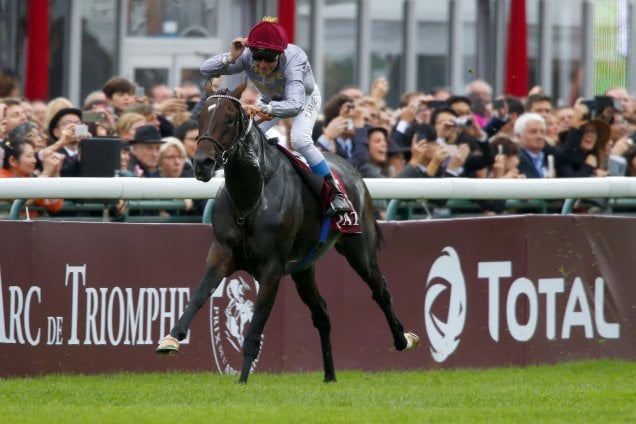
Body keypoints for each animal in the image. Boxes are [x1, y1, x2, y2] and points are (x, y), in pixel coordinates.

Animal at [157, 81, 420, 382]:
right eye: (199, 116)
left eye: (230, 119)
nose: (202, 163)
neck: (250, 198)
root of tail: (352, 171)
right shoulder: (221, 252)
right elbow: (199, 295)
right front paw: (171, 339)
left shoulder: (271, 269)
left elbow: (255, 329)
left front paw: (242, 381)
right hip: (304, 268)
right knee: (322, 313)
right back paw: (330, 376)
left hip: (358, 248)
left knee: (380, 289)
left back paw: (404, 339)